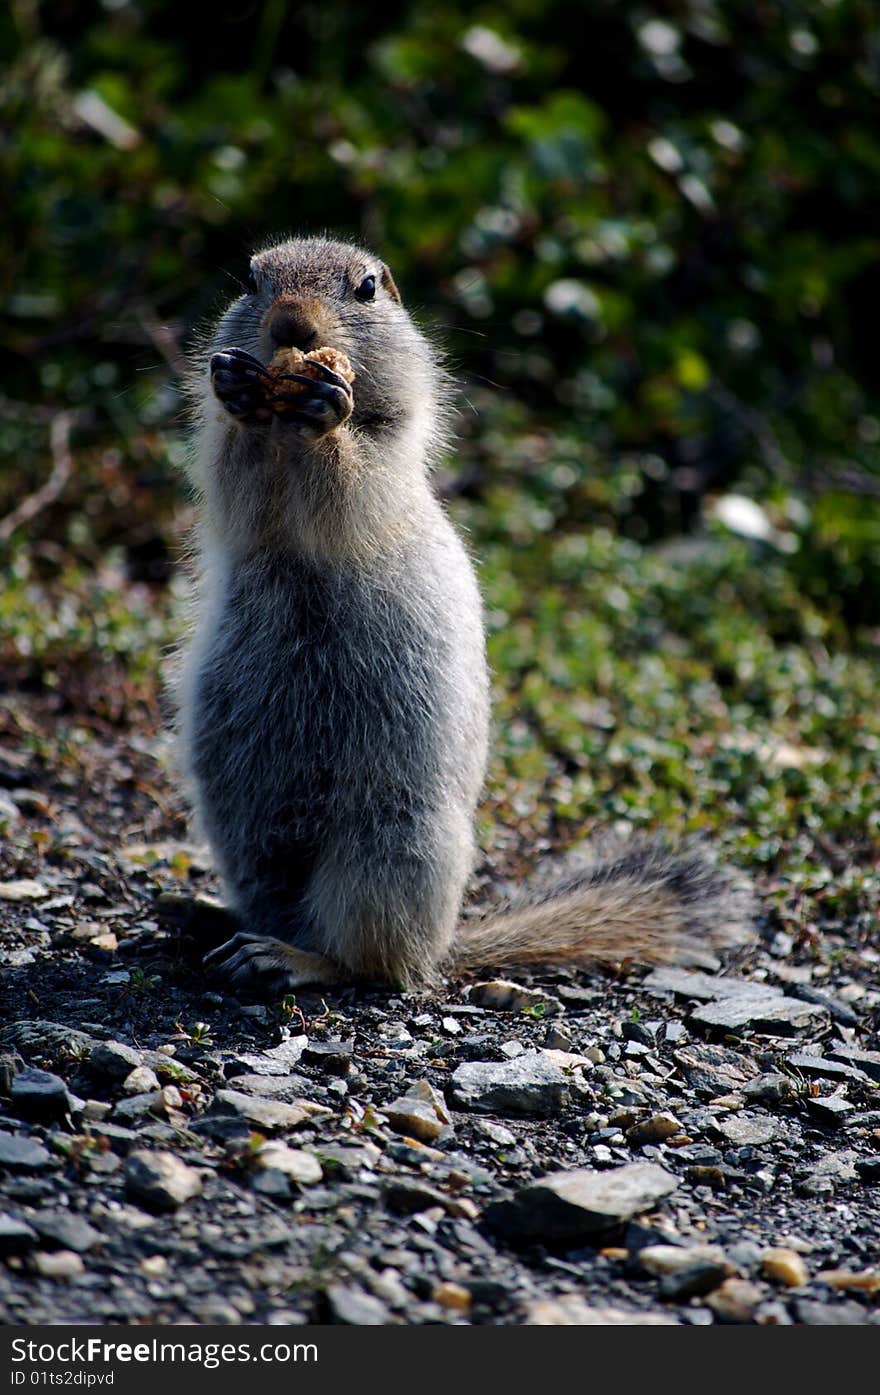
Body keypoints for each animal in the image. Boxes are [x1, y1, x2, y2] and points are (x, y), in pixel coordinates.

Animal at [177, 237, 753, 993]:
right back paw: (216, 920)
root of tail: (448, 946)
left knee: (374, 963)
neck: (283, 435)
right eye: (249, 279)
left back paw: (292, 957)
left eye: (366, 288)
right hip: (243, 828)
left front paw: (327, 405)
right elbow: (231, 477)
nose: (291, 326)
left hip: (390, 843)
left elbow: (352, 485)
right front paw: (237, 390)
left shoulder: (387, 463)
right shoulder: (241, 485)